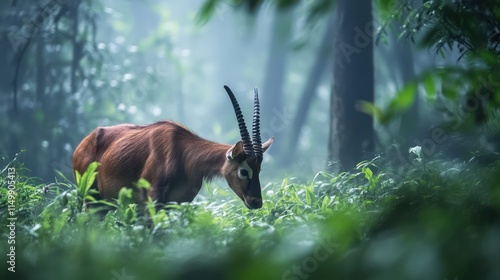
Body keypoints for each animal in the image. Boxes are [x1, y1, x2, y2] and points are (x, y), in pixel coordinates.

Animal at [72, 86, 274, 209]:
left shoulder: (178, 203)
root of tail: (84, 143)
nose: (256, 202)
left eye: (259, 169)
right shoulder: (153, 199)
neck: (182, 152)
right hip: (91, 199)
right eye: (244, 171)